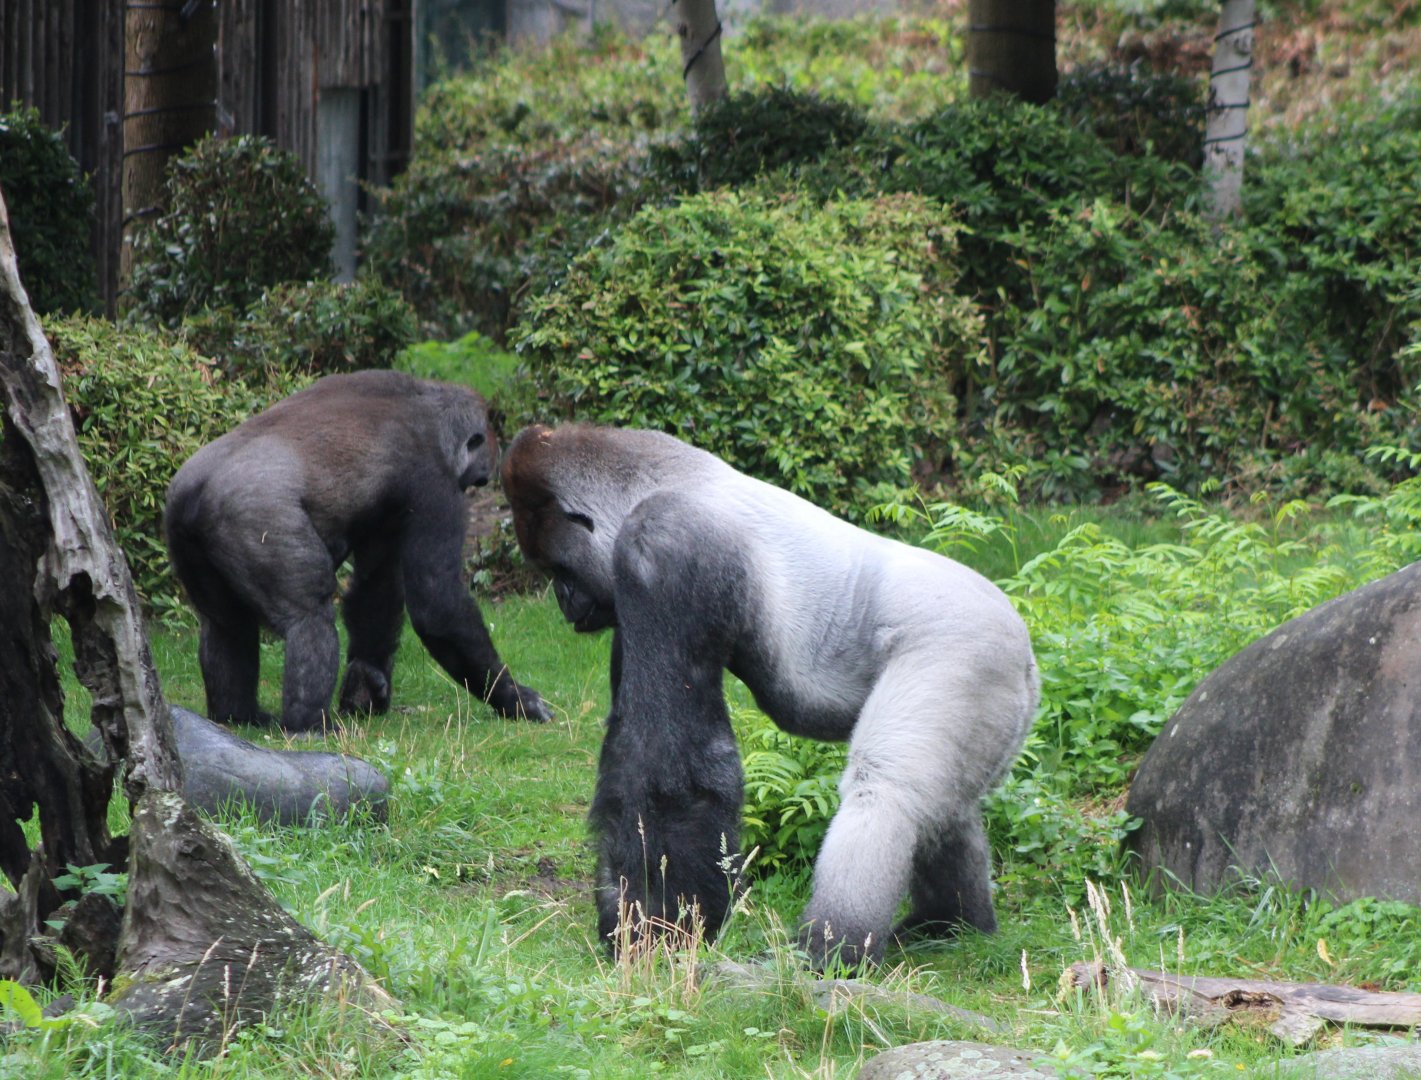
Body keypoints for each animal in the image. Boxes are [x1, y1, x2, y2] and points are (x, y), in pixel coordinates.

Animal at [165, 369, 550, 733]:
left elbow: (376, 586)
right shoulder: (434, 484)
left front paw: (365, 684)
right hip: (255, 520)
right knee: (309, 615)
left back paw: (237, 715)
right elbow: (438, 604)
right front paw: (514, 698)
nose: (477, 485)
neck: (430, 407)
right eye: (477, 479)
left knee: (226, 625)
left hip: (182, 533)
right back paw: (309, 724)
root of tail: (196, 492)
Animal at [501, 423, 1037, 967]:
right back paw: (951, 923)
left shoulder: (664, 547)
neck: (659, 482)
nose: (563, 601)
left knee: (886, 792)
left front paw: (656, 927)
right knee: (945, 808)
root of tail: (1029, 657)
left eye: (559, 569)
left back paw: (829, 952)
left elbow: (672, 770)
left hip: (965, 651)